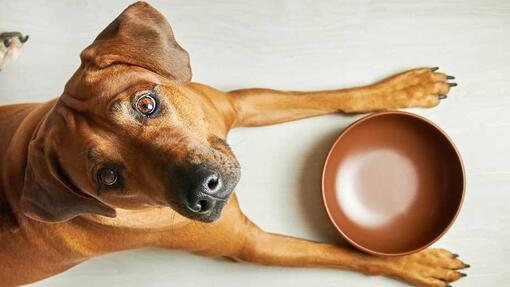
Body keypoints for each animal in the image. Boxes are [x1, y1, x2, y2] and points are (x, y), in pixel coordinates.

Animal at [0, 2, 466, 287]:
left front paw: (404, 88)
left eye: (146, 104)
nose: (202, 190)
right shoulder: (253, 246)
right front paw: (415, 262)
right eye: (109, 177)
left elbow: (329, 96)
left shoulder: (234, 105)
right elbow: (346, 254)